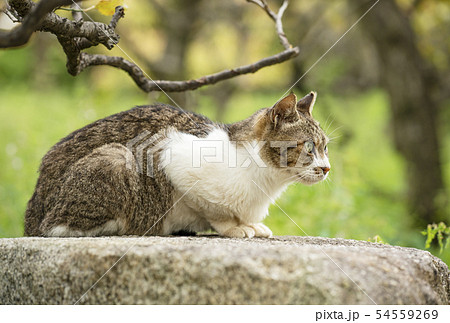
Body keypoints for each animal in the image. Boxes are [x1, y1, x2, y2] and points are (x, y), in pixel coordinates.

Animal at [24, 92, 328, 239]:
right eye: (309, 147)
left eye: (325, 147)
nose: (326, 168)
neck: (267, 182)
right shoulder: (170, 152)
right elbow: (217, 212)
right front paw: (235, 227)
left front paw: (250, 224)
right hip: (116, 156)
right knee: (56, 227)